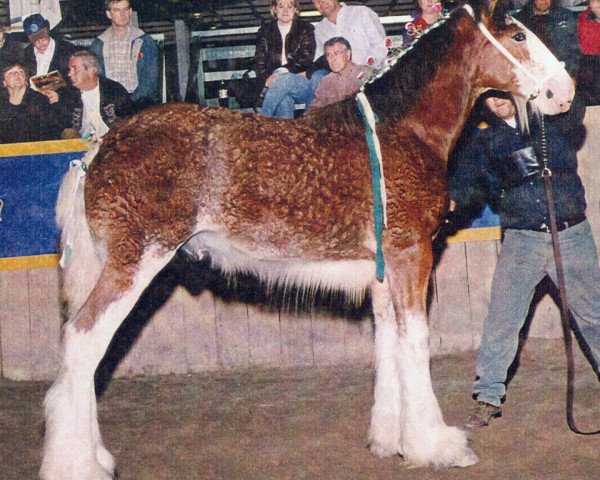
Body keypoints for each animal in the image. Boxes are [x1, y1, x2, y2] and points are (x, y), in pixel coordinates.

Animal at [39, 1, 576, 478]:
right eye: (519, 36)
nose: (564, 91)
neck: (401, 129)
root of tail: (96, 150)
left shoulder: (382, 269)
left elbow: (388, 342)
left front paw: (389, 439)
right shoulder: (410, 256)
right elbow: (415, 341)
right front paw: (436, 445)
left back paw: (94, 457)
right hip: (135, 262)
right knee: (84, 342)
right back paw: (77, 465)